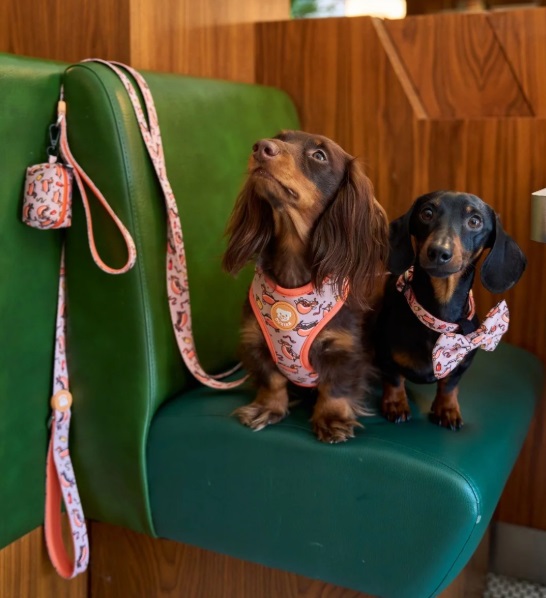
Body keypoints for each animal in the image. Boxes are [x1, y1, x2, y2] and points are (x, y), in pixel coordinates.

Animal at [222, 130, 388, 443]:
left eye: (319, 156)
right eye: (280, 137)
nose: (261, 148)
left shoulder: (345, 350)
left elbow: (336, 388)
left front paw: (332, 419)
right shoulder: (254, 342)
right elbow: (272, 380)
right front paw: (267, 408)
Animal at [375, 190, 526, 430]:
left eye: (475, 221)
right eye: (427, 213)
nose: (438, 251)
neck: (438, 316)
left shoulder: (463, 362)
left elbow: (450, 384)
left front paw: (447, 409)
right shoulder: (384, 354)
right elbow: (394, 379)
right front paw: (396, 404)